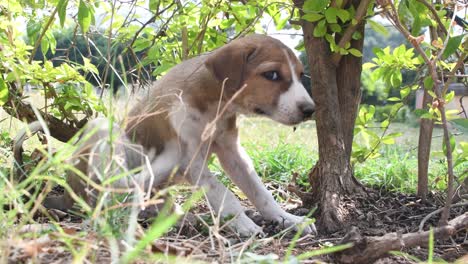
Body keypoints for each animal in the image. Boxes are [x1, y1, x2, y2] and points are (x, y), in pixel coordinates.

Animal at [40, 34, 316, 235]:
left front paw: (287, 218)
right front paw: (242, 222)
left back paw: (182, 217)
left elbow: (260, 192)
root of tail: (65, 197)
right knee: (113, 191)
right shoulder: (191, 158)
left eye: (301, 75)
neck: (213, 107)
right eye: (272, 75)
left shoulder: (231, 151)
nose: (310, 110)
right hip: (102, 132)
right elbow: (221, 191)